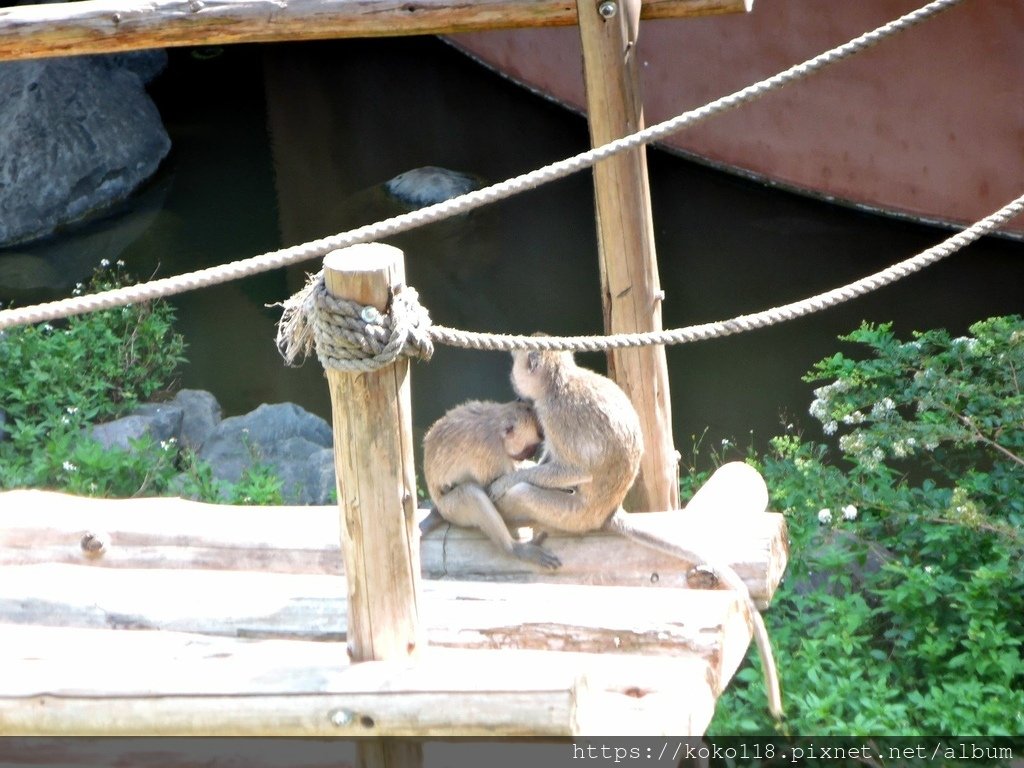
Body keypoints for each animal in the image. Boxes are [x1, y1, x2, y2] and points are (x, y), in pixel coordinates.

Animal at [421, 403, 565, 573]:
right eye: (529, 448)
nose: (529, 455)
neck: (497, 425)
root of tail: (438, 506)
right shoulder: (491, 452)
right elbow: (490, 487)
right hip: (450, 510)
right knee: (470, 494)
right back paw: (512, 548)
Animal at [487, 348, 782, 720]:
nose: (513, 376)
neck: (558, 383)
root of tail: (610, 512)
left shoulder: (554, 416)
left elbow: (575, 470)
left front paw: (509, 479)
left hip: (573, 515)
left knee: (531, 494)